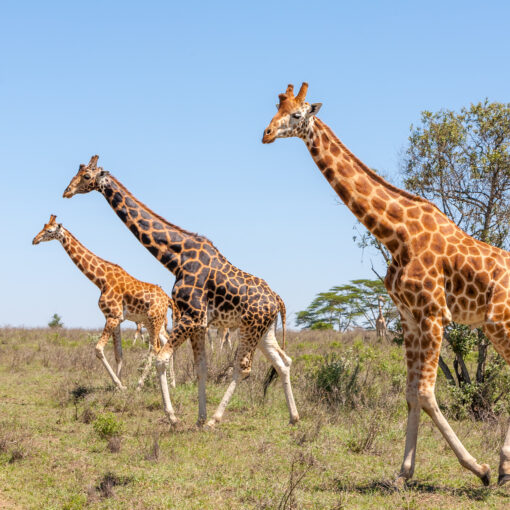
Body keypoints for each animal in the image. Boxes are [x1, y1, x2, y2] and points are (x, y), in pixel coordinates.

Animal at [32, 215, 177, 390]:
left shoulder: (112, 316)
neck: (101, 280)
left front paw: (119, 385)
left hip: (153, 320)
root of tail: (167, 299)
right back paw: (172, 383)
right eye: (43, 226)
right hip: (154, 322)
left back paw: (140, 384)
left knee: (154, 348)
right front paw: (119, 385)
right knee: (165, 343)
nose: (34, 240)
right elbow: (118, 354)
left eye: (49, 231)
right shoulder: (116, 318)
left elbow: (98, 349)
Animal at [62, 157, 298, 428]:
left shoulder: (191, 317)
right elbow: (201, 368)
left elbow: (161, 358)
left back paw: (216, 419)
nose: (66, 191)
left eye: (87, 176)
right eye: (77, 172)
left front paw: (174, 417)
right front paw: (198, 418)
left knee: (244, 367)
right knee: (282, 363)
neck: (176, 258)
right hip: (264, 331)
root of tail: (276, 299)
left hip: (251, 327)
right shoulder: (199, 323)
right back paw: (293, 417)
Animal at [258, 82, 510, 486]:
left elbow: (425, 392)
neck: (396, 234)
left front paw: (479, 469)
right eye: (276, 109)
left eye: (296, 114)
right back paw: (504, 467)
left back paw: (500, 467)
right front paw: (404, 472)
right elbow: (410, 394)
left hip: (498, 323)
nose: (265, 134)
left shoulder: (434, 315)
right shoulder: (409, 318)